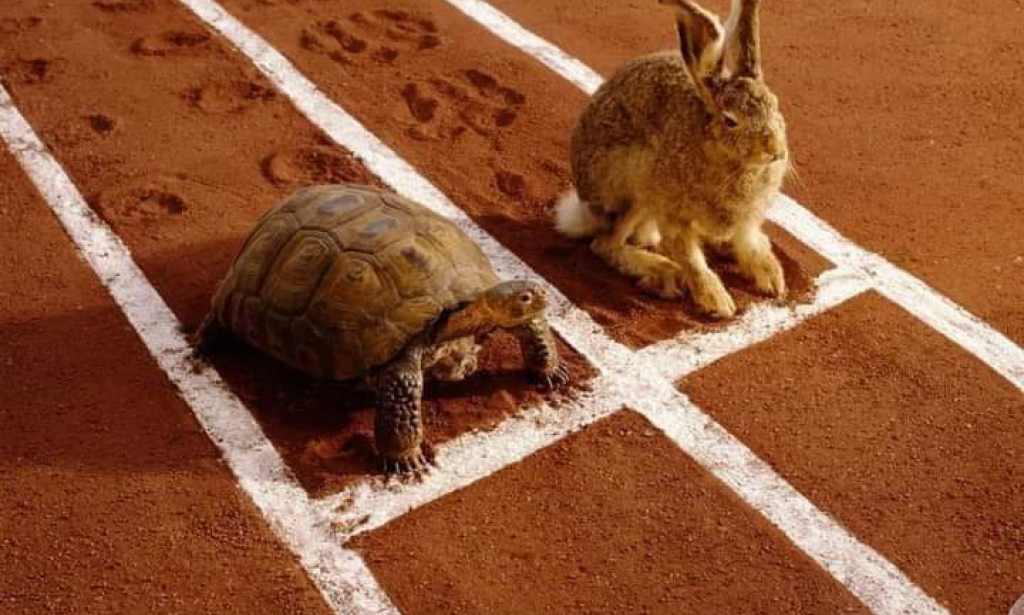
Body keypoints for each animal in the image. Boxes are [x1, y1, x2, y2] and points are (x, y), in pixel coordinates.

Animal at [554, 0, 789, 318]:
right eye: (730, 121)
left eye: (775, 105)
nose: (775, 151)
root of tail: (584, 208)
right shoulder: (673, 214)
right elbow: (691, 260)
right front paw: (718, 302)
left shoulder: (747, 220)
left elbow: (750, 243)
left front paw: (773, 280)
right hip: (636, 185)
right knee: (605, 244)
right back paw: (663, 272)